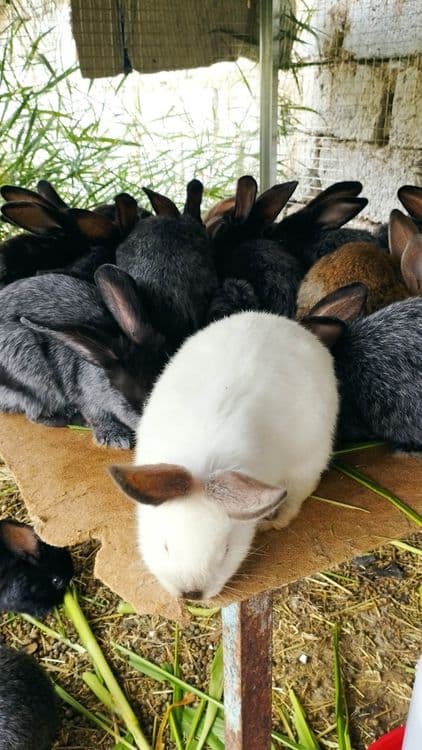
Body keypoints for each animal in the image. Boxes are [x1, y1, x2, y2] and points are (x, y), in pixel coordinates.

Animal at [0, 266, 167, 447]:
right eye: (146, 403)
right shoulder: (86, 396)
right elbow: (96, 415)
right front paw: (117, 439)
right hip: (34, 382)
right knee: (37, 414)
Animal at [108, 309, 338, 600]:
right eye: (165, 546)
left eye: (226, 552)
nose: (191, 594)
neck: (203, 468)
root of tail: (288, 323)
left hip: (307, 465)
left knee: (295, 500)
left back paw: (273, 523)